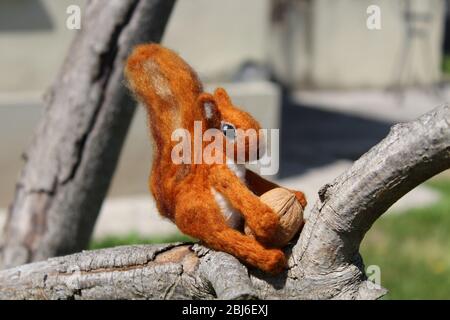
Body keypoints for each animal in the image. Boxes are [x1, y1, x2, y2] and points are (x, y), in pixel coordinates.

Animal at [124, 44, 306, 272]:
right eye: (228, 130)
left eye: (251, 117)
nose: (259, 149)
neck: (232, 160)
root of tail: (174, 213)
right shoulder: (216, 169)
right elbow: (237, 190)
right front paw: (265, 220)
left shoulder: (246, 174)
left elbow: (258, 181)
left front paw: (297, 195)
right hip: (204, 216)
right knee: (225, 238)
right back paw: (271, 257)